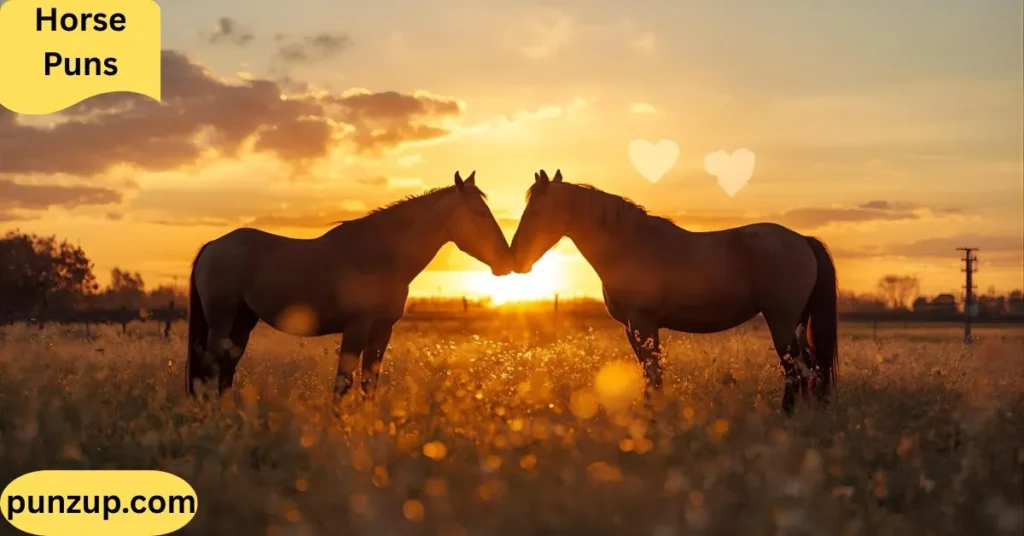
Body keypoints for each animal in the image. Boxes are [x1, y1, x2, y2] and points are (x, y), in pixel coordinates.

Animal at [185, 171, 513, 402]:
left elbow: (369, 383)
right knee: (210, 368)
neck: (381, 257)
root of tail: (213, 245)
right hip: (221, 321)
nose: (506, 259)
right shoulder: (356, 328)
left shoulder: (382, 330)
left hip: (243, 322)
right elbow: (343, 384)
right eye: (480, 214)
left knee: (226, 369)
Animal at [509, 170, 838, 414]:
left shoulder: (643, 323)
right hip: (797, 322)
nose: (517, 258)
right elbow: (649, 372)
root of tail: (803, 240)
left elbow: (653, 372)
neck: (629, 246)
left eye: (537, 210)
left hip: (781, 321)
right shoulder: (632, 328)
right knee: (810, 371)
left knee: (795, 371)